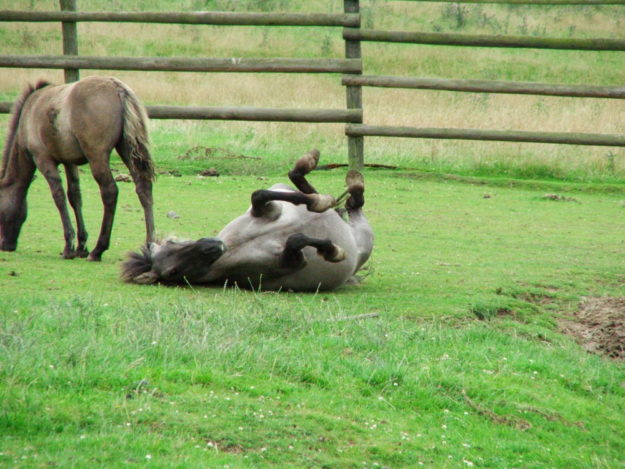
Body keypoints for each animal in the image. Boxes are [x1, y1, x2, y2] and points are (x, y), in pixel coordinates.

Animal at [0, 76, 155, 260]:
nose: (5, 245)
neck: (28, 113)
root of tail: (116, 87)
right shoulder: (69, 162)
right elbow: (75, 196)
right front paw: (81, 246)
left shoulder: (43, 159)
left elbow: (59, 197)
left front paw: (69, 246)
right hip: (127, 150)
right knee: (143, 189)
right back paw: (150, 245)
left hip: (97, 156)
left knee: (110, 192)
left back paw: (98, 249)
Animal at [124, 150, 372, 290]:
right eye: (172, 273)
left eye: (172, 242)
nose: (211, 246)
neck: (234, 246)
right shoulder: (288, 262)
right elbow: (296, 240)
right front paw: (333, 251)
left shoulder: (268, 210)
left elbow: (260, 194)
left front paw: (318, 201)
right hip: (365, 240)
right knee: (354, 208)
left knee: (302, 182)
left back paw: (327, 176)